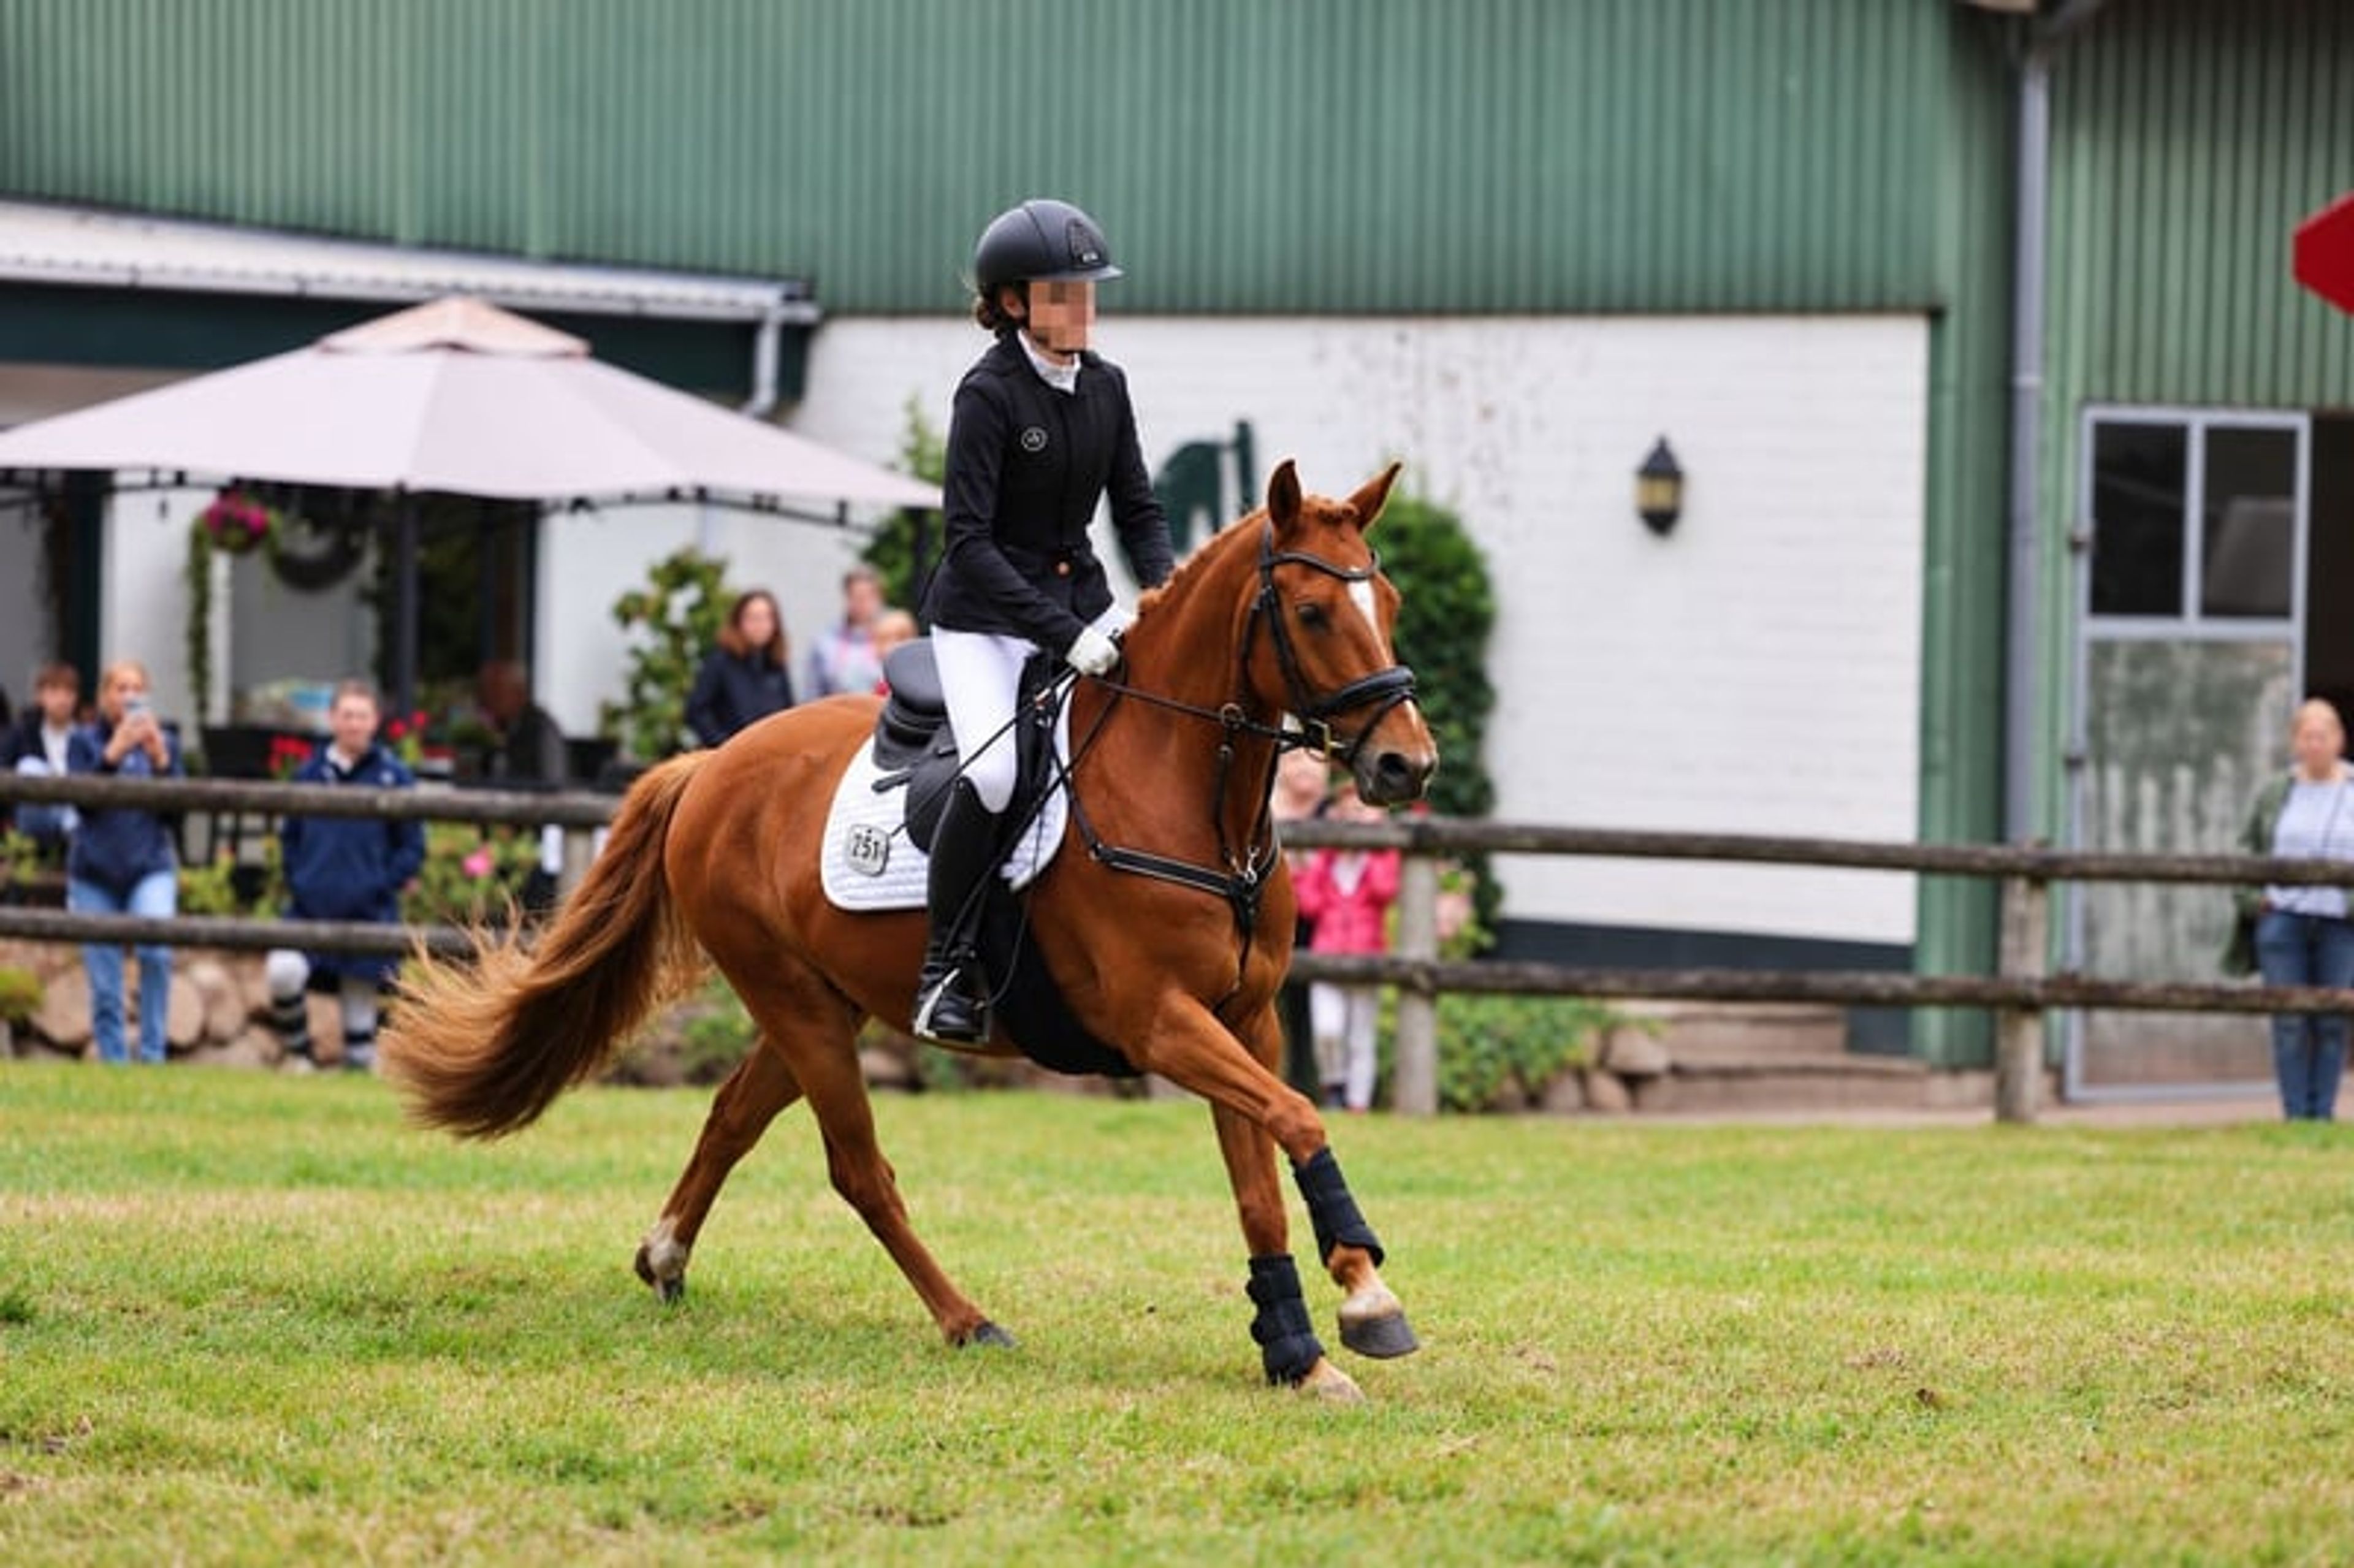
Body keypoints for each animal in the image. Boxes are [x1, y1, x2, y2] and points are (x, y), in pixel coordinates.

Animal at [379, 459, 1440, 1402]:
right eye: (1313, 611)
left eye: (1388, 600)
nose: (1408, 765)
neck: (1193, 799)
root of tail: (713, 762)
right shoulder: (1159, 1022)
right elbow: (1300, 1117)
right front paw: (1367, 1297)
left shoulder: (1244, 1019)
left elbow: (1263, 1170)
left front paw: (1302, 1350)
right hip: (796, 1000)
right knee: (859, 1168)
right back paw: (966, 1319)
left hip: (822, 1002)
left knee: (732, 1116)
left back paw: (666, 1255)